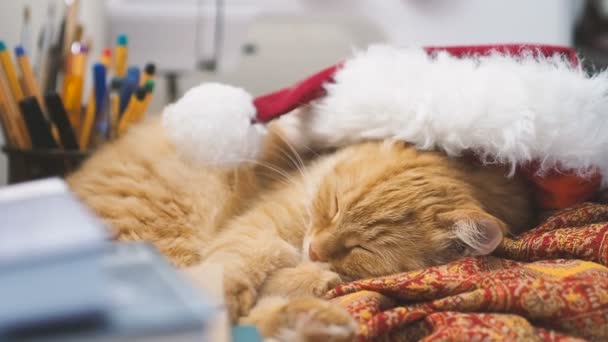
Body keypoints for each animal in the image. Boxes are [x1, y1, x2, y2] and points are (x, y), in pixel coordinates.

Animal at [65, 114, 532, 340]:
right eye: (336, 205)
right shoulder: (259, 227)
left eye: (362, 249)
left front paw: (312, 278)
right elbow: (239, 267)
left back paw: (318, 319)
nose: (317, 248)